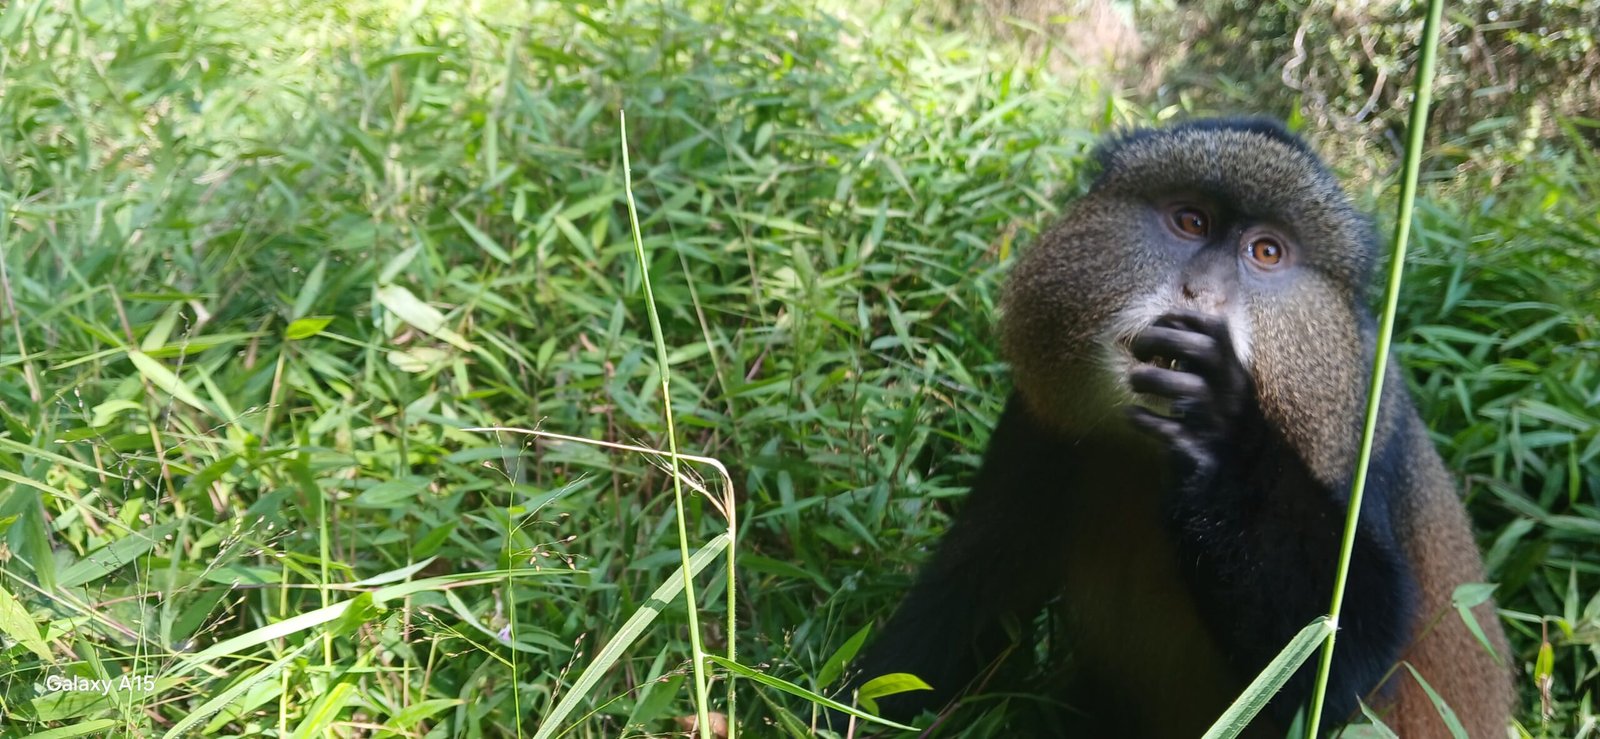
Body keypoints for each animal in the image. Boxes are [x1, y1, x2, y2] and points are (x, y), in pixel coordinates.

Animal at [831, 119, 1512, 738]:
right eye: (1191, 222)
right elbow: (973, 587)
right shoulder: (1037, 423)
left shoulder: (1360, 435)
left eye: (1266, 252)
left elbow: (1342, 664)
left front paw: (1220, 432)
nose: (1201, 294)